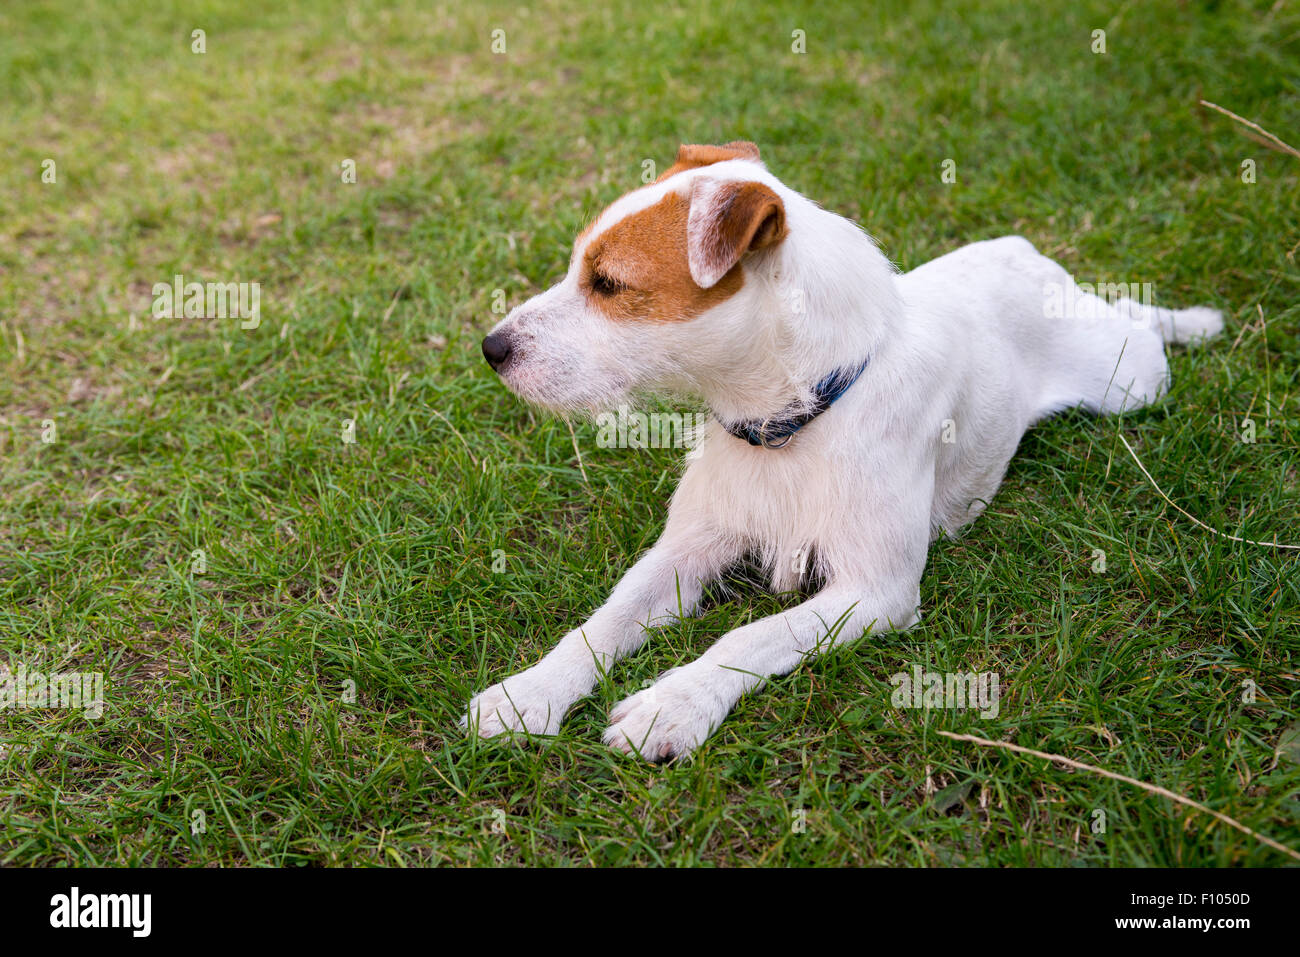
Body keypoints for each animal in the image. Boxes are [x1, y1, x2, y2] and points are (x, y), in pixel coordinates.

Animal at [465, 140, 1216, 764]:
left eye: (610, 284)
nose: (492, 348)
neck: (798, 419)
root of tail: (1033, 259)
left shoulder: (875, 589)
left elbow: (748, 637)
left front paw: (671, 706)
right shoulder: (686, 551)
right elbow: (602, 621)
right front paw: (530, 693)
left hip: (1130, 381)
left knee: (1139, 324)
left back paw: (1187, 321)